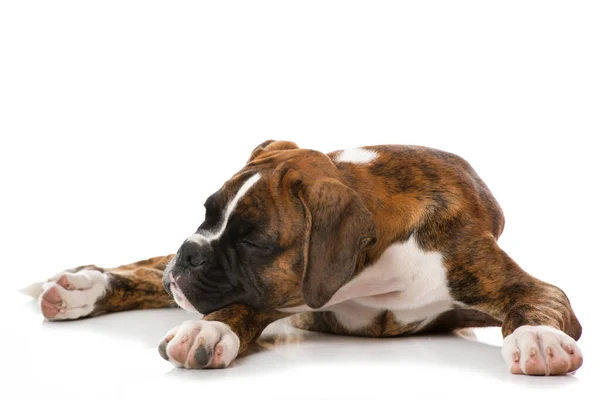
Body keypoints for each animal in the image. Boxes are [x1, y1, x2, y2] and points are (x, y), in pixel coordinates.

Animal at [25, 140, 584, 376]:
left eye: (252, 241)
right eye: (207, 213)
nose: (191, 251)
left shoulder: (516, 283)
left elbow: (535, 304)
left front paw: (538, 339)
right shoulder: (287, 295)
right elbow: (242, 305)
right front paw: (211, 329)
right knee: (148, 270)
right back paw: (80, 288)